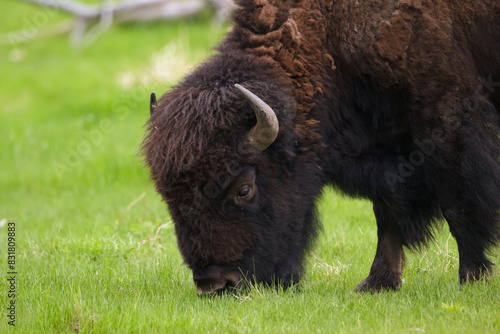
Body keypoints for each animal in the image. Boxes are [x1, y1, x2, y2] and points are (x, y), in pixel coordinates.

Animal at [142, 0, 500, 292]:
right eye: (169, 198)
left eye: (244, 189)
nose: (214, 284)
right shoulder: (385, 152)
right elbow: (386, 213)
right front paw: (377, 283)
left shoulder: (449, 126)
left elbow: (458, 207)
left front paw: (471, 277)